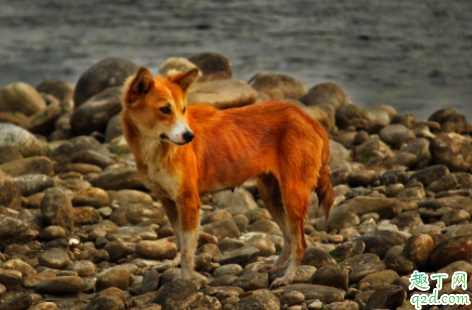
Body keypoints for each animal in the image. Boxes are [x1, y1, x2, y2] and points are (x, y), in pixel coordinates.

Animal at [121, 66, 336, 286]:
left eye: (183, 109)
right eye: (165, 109)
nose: (190, 137)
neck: (157, 148)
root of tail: (309, 119)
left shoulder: (188, 201)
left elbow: (187, 252)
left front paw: (187, 283)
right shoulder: (168, 202)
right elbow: (182, 246)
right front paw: (189, 279)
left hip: (292, 195)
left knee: (300, 243)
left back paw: (286, 278)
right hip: (271, 196)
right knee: (289, 239)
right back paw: (275, 268)